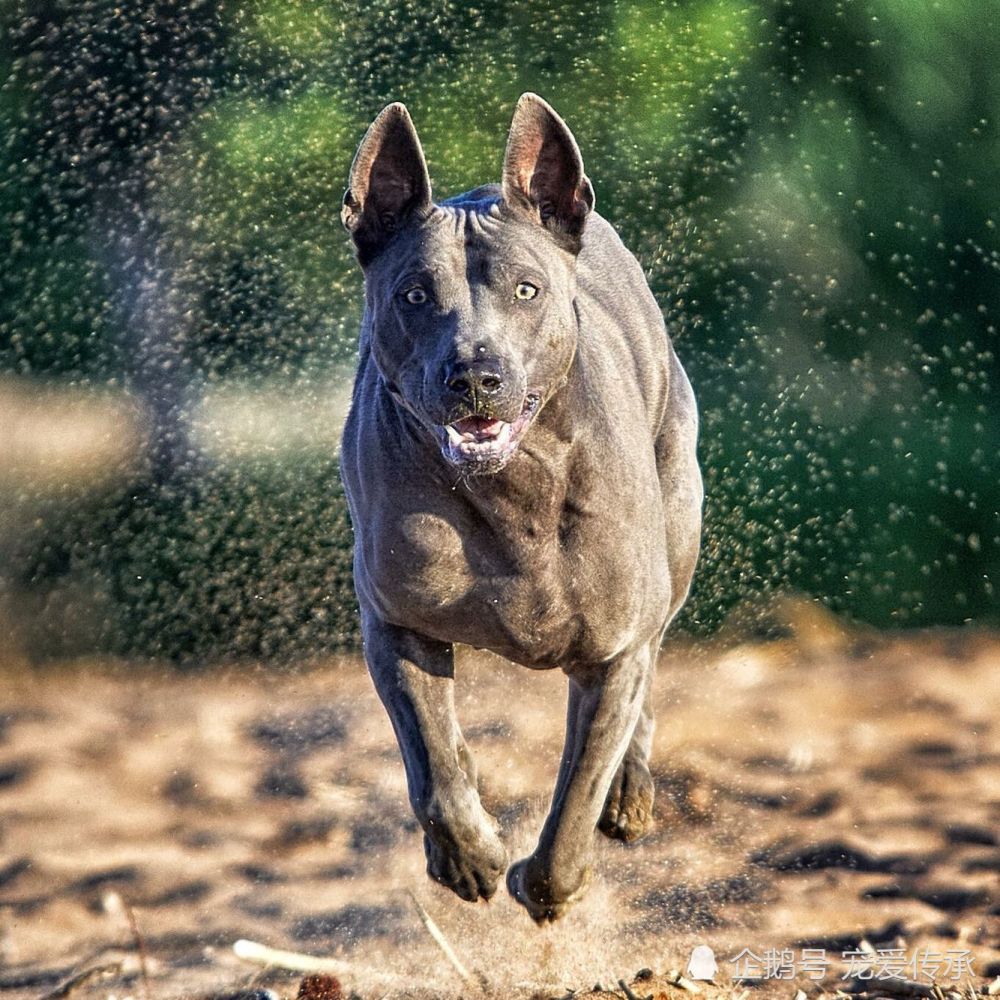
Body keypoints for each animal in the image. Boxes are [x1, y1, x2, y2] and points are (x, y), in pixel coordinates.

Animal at [340, 94, 700, 920]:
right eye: (414, 295)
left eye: (527, 291)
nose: (476, 374)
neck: (512, 489)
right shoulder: (396, 621)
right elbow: (433, 763)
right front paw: (470, 854)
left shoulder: (612, 650)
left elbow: (576, 795)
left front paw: (547, 881)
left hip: (679, 523)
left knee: (653, 665)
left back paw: (628, 794)